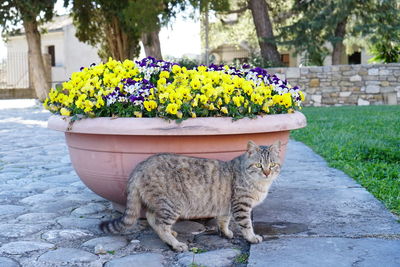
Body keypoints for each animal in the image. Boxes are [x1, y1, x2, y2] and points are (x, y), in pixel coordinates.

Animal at [100, 141, 282, 252]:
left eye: (272, 164)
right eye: (259, 165)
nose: (267, 173)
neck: (260, 184)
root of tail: (140, 166)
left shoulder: (226, 206)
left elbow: (223, 221)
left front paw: (226, 232)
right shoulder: (241, 205)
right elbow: (246, 225)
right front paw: (252, 237)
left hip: (160, 203)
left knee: (152, 218)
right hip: (172, 204)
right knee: (160, 223)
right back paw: (175, 244)